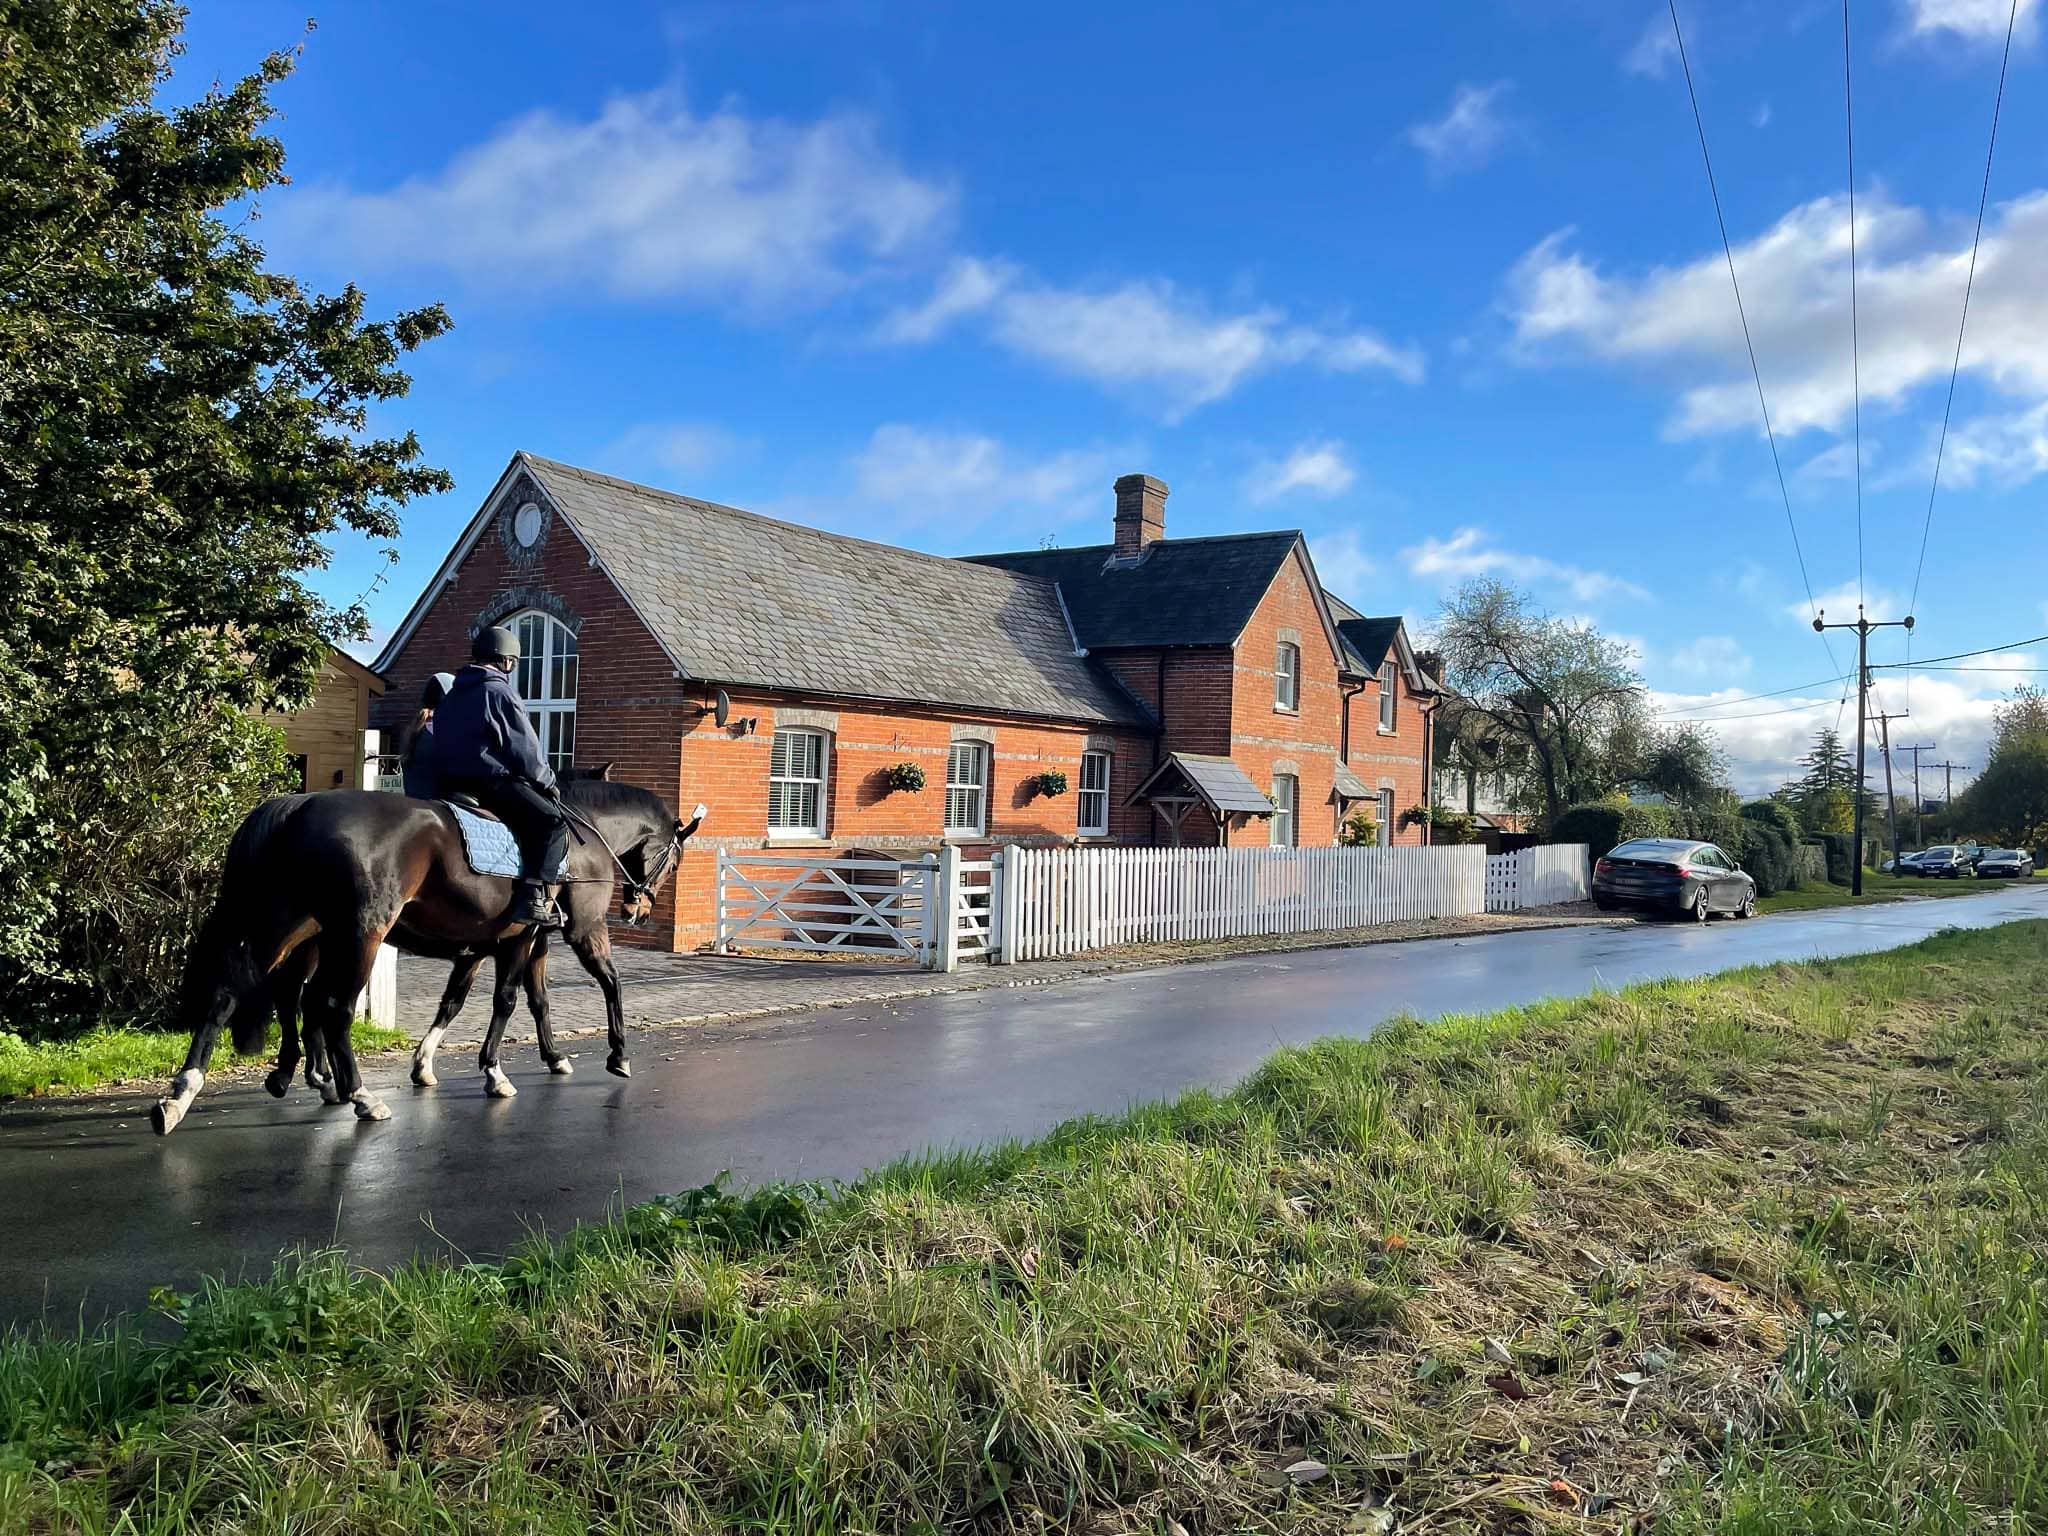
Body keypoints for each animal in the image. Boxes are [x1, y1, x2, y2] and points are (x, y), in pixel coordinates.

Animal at [149, 786, 696, 1138]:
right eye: (674, 857)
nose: (639, 909)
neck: (583, 837)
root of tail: (300, 804)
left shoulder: (496, 945)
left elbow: (479, 1002)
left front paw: (431, 1063)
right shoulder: (566, 935)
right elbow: (558, 992)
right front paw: (610, 1055)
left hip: (288, 925)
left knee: (235, 995)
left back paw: (184, 1094)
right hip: (359, 936)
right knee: (330, 1007)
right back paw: (357, 1094)